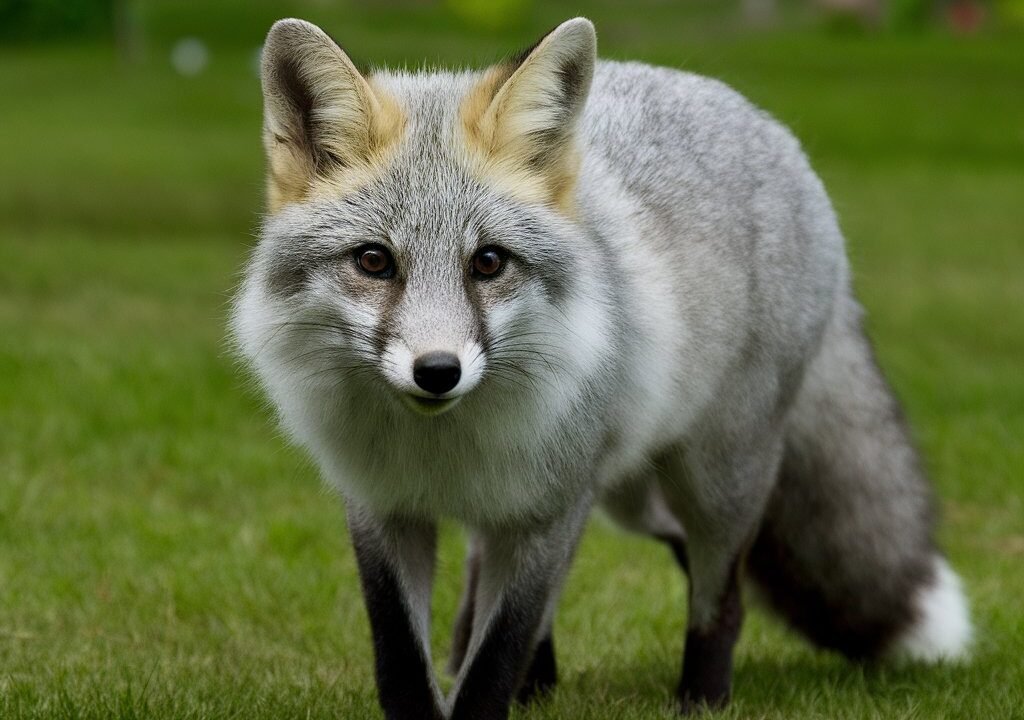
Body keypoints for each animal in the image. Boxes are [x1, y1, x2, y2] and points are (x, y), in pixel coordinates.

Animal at [230, 16, 973, 719]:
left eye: (489, 262)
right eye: (374, 261)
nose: (437, 371)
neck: (440, 449)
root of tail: (760, 119)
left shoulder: (549, 510)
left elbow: (495, 659)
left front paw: (494, 688)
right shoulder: (383, 511)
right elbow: (407, 666)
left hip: (707, 480)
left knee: (723, 593)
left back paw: (701, 700)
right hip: (615, 496)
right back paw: (542, 684)